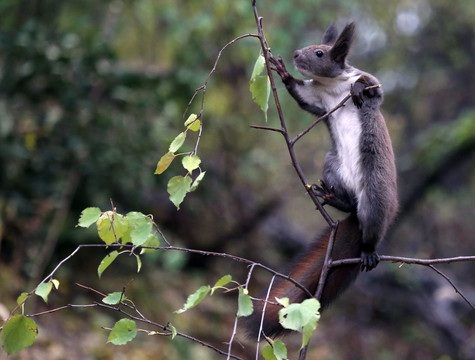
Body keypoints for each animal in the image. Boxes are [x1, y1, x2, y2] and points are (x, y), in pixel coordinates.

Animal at [247, 22, 400, 338]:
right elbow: (302, 95)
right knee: (348, 202)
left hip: (375, 194)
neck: (330, 85)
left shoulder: (371, 83)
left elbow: (371, 87)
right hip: (332, 165)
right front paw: (283, 72)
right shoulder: (317, 98)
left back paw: (369, 251)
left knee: (372, 225)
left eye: (320, 52)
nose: (295, 54)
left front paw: (357, 89)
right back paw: (332, 198)